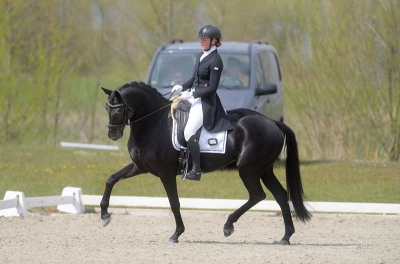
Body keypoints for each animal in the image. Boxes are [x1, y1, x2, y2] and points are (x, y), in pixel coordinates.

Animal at [101, 81, 312, 245]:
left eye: (118, 110)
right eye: (107, 108)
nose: (112, 134)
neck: (155, 124)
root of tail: (272, 122)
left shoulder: (165, 172)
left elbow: (174, 202)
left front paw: (176, 234)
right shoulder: (140, 167)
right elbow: (111, 179)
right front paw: (105, 216)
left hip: (248, 169)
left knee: (257, 195)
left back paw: (228, 226)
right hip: (264, 169)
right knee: (280, 195)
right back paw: (285, 237)